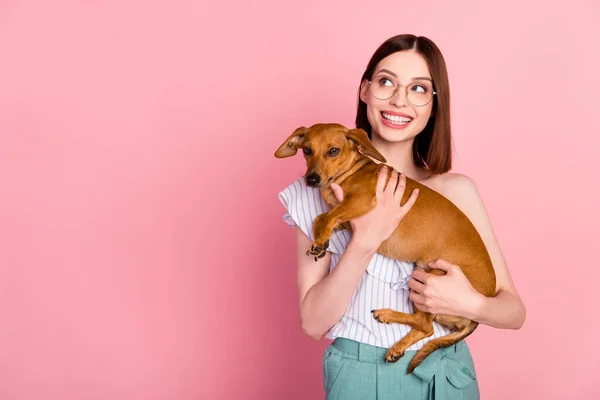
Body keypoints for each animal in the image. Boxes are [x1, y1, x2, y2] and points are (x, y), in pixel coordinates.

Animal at [274, 123, 494, 374]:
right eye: (307, 150)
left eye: (333, 151)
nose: (310, 180)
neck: (351, 172)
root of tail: (474, 317)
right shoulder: (345, 216)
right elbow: (320, 218)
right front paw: (321, 240)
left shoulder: (360, 201)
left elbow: (329, 216)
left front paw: (320, 241)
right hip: (420, 281)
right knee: (426, 328)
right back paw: (397, 347)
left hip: (433, 278)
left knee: (424, 323)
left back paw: (386, 315)